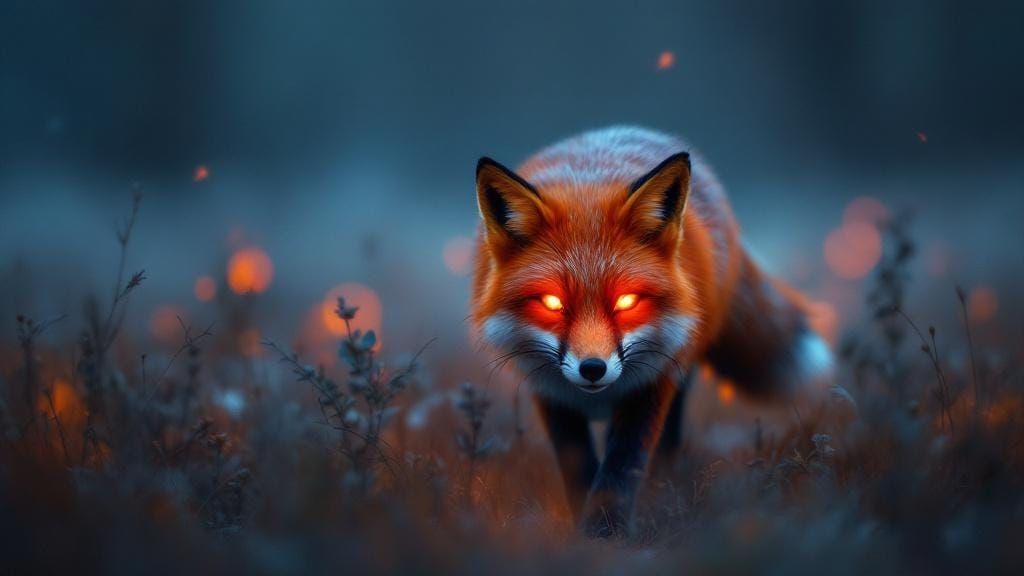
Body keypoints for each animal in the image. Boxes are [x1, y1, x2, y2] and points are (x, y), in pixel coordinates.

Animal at [470, 126, 853, 537]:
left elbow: (623, 464)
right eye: (552, 303)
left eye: (626, 301)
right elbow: (577, 466)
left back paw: (663, 488)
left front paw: (606, 530)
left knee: (668, 439)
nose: (593, 368)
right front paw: (584, 527)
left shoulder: (653, 380)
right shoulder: (551, 392)